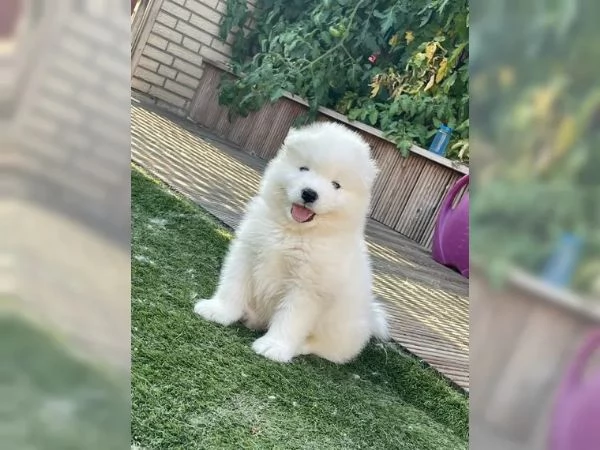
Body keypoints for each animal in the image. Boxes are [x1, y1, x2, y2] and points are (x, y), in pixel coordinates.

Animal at [193, 121, 390, 364]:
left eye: (336, 185)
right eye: (304, 169)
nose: (309, 193)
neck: (292, 231)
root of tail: (370, 319)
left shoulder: (307, 286)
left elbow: (291, 318)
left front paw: (274, 346)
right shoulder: (247, 252)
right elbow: (233, 286)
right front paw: (219, 311)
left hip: (339, 332)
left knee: (323, 348)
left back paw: (298, 346)